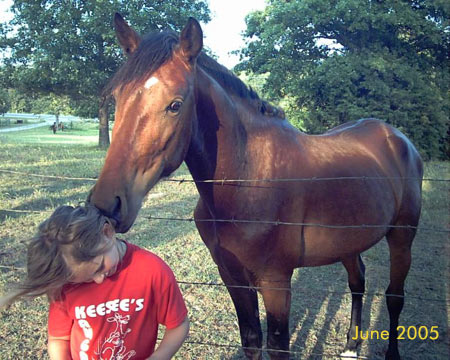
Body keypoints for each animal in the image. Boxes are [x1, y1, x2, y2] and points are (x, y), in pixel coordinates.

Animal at [89, 14, 424, 360]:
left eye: (175, 104)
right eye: (117, 98)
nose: (107, 204)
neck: (246, 181)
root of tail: (396, 137)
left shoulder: (276, 282)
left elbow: (277, 346)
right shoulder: (232, 276)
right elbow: (251, 339)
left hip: (402, 237)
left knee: (394, 296)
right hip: (350, 240)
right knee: (357, 280)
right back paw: (351, 346)